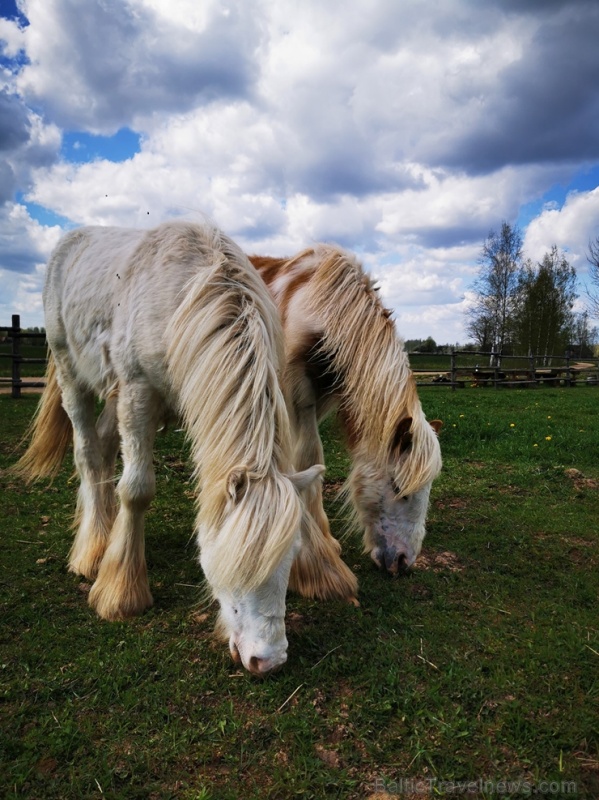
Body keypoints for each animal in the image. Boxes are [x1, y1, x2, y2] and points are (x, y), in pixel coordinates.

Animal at [14, 220, 324, 676]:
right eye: (234, 563)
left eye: (291, 555)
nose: (267, 660)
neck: (187, 297)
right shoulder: (138, 393)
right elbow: (137, 490)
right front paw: (121, 593)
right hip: (74, 377)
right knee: (88, 455)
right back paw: (92, 552)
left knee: (104, 451)